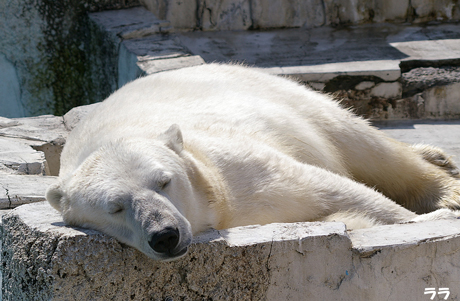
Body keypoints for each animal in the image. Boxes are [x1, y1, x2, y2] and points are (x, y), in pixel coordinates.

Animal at [45, 63, 460, 260]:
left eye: (163, 181)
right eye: (115, 207)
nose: (165, 235)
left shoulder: (233, 168)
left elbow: (330, 187)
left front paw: (429, 218)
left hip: (283, 98)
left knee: (359, 141)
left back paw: (444, 181)